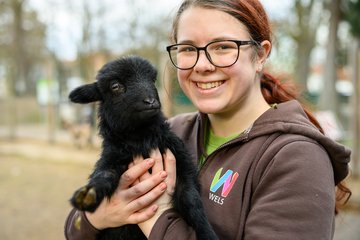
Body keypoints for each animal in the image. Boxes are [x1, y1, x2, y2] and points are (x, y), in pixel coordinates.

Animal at [69, 55, 218, 239]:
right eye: (115, 86)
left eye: (152, 79)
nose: (151, 101)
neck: (141, 138)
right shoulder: (112, 159)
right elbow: (104, 175)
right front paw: (88, 194)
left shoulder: (183, 165)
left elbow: (192, 201)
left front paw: (207, 233)